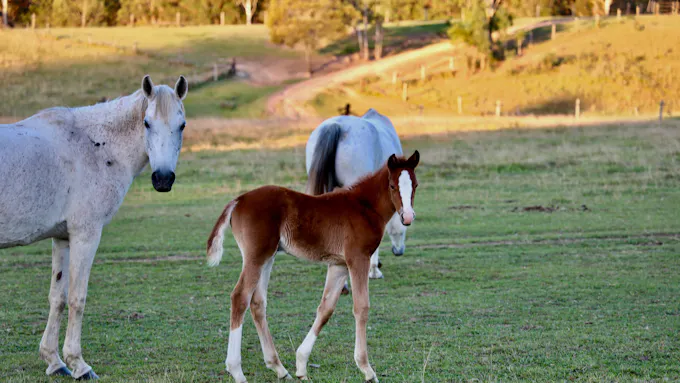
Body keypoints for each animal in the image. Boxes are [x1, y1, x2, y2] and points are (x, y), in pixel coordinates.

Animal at [0, 75, 189, 380]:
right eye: (147, 123)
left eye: (181, 125)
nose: (162, 179)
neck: (93, 146)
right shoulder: (86, 235)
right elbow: (78, 298)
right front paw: (79, 364)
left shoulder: (63, 238)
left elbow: (58, 298)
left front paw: (55, 361)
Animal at [207, 151, 420, 383]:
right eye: (392, 185)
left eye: (416, 185)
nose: (408, 217)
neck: (364, 206)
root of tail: (238, 200)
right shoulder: (358, 259)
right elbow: (361, 307)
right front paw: (367, 369)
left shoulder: (338, 265)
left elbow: (325, 309)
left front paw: (301, 365)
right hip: (256, 256)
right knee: (240, 297)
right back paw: (236, 370)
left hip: (267, 258)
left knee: (257, 302)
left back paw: (279, 367)